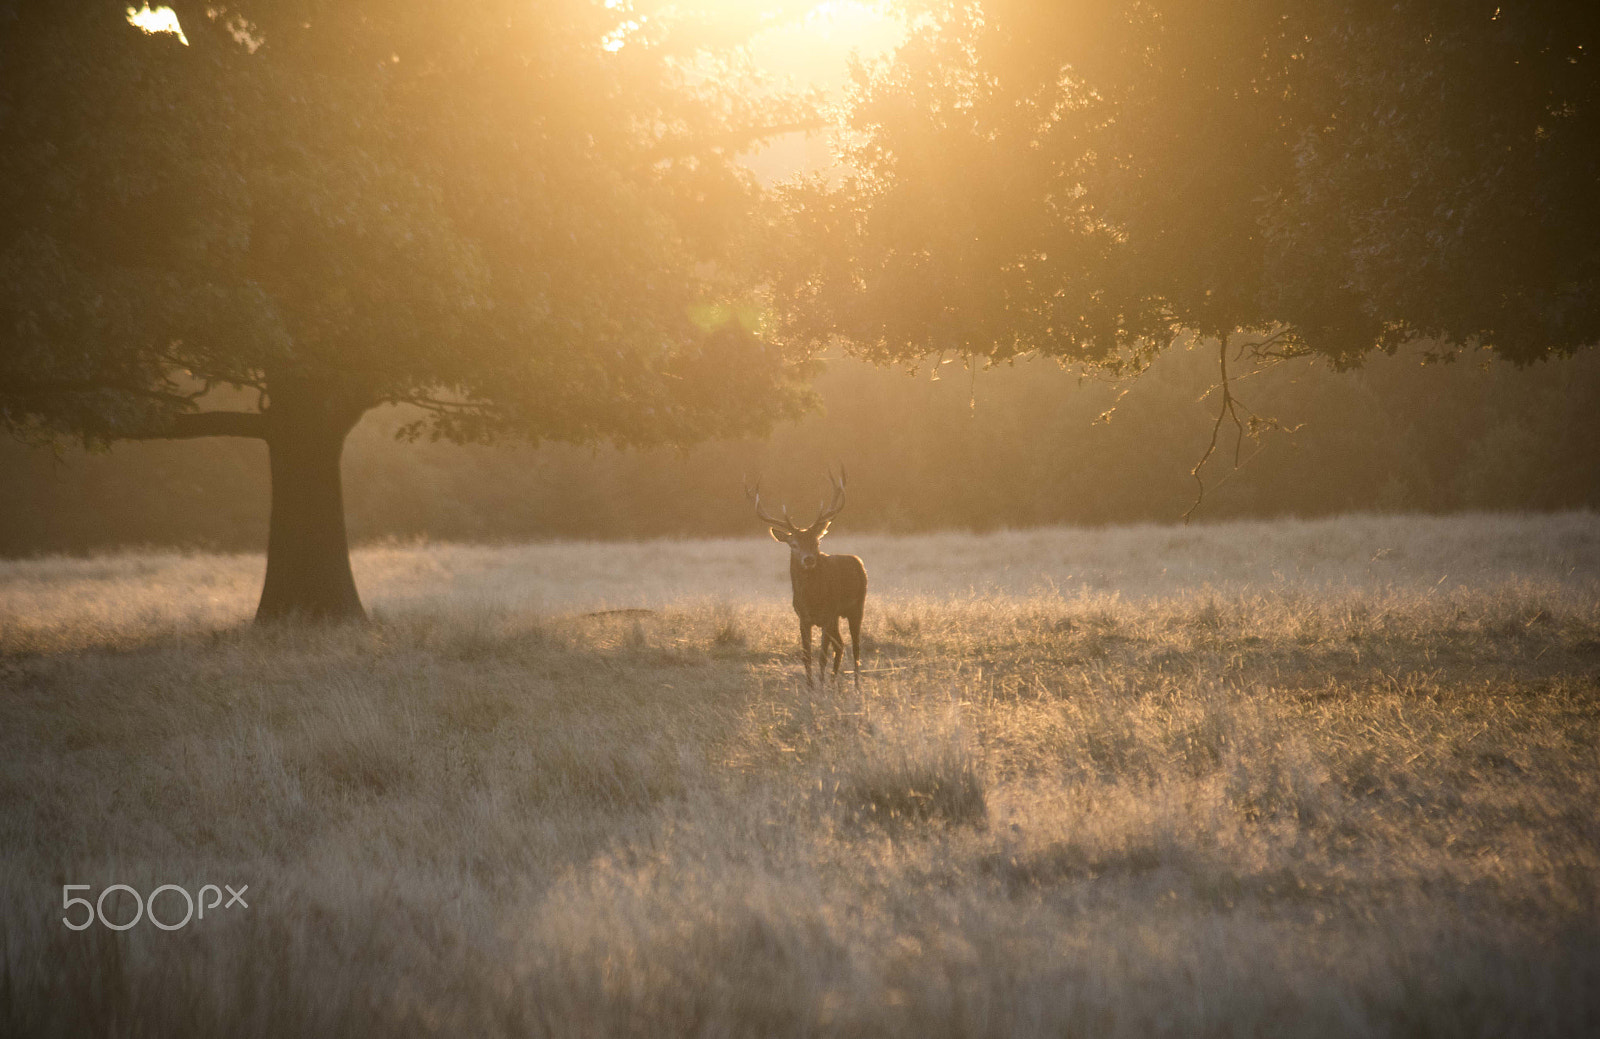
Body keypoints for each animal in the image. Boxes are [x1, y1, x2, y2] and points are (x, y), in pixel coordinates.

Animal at [748, 468, 868, 686]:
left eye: (817, 542)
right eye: (793, 544)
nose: (809, 559)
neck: (812, 599)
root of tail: (858, 562)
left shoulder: (828, 614)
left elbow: (822, 656)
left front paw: (820, 686)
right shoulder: (803, 618)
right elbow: (807, 655)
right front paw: (811, 686)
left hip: (856, 607)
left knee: (855, 648)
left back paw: (855, 685)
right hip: (837, 618)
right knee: (841, 645)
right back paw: (833, 682)